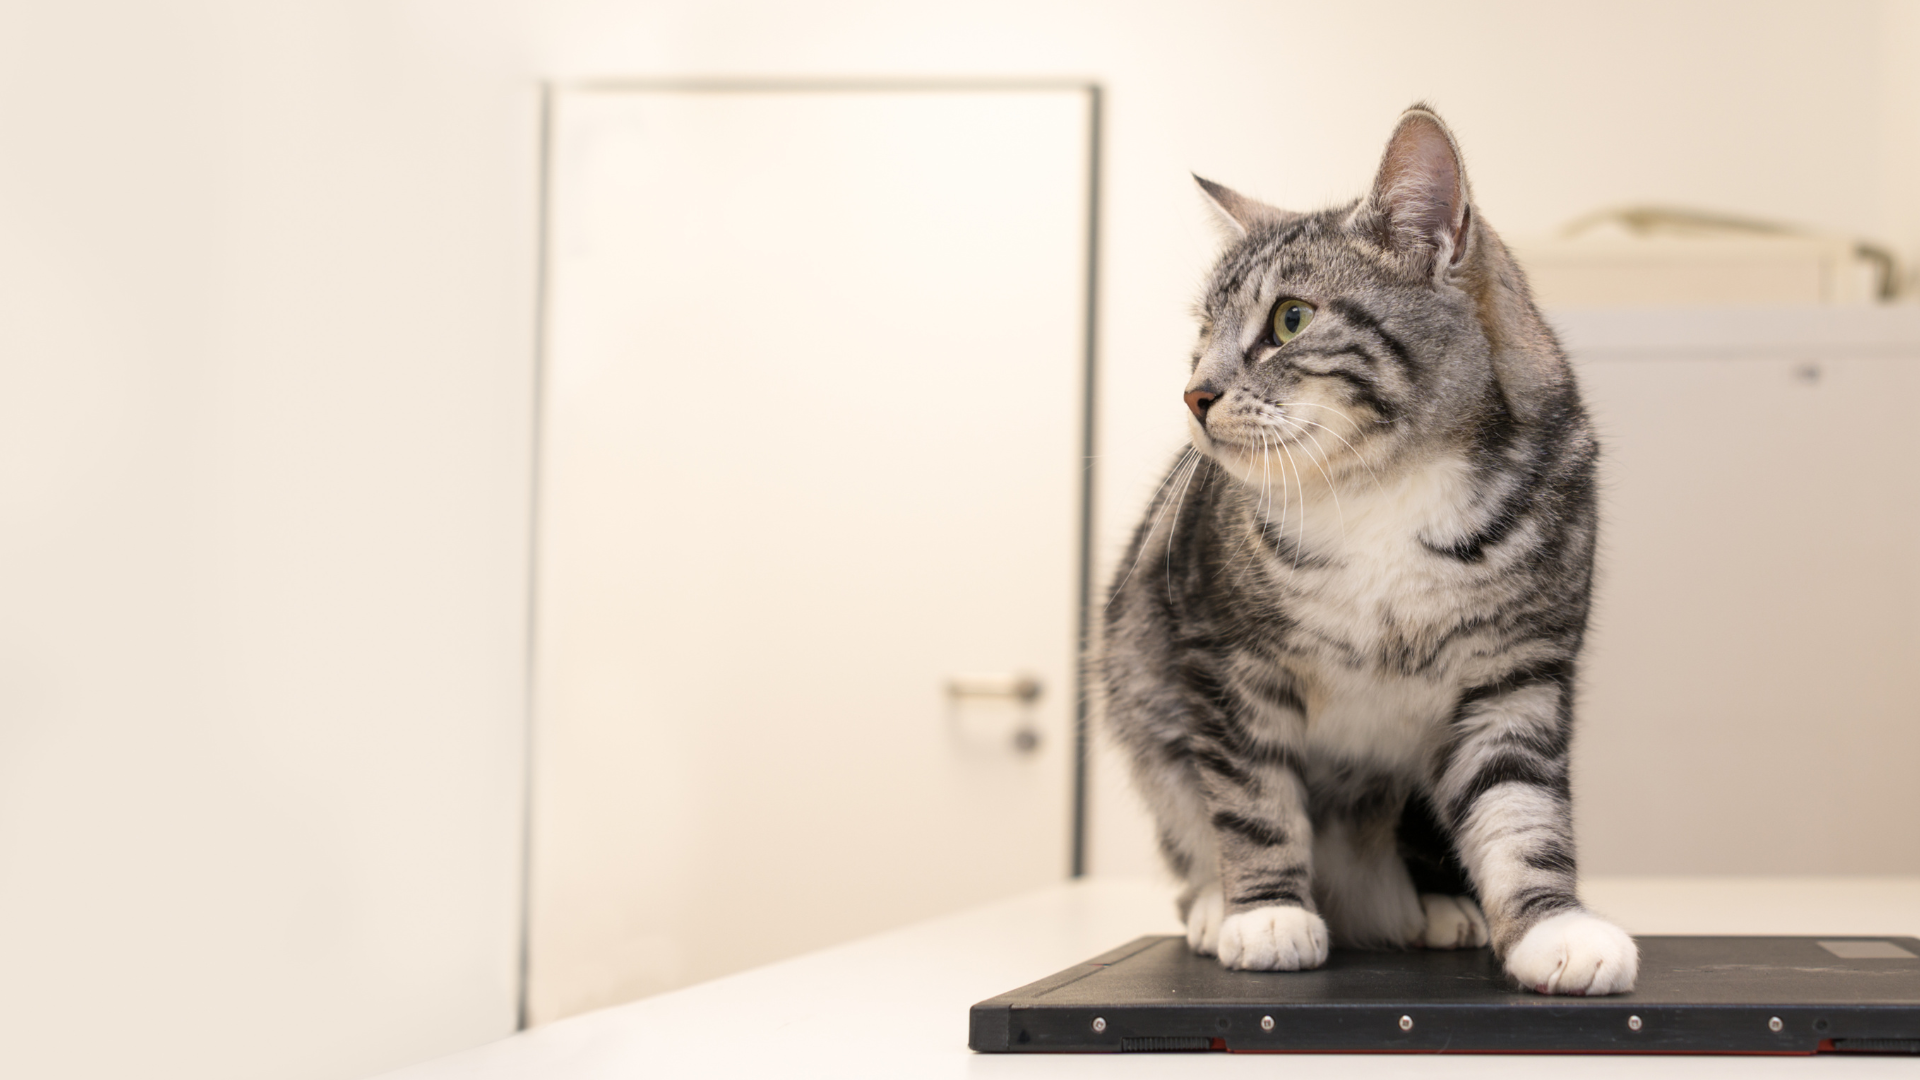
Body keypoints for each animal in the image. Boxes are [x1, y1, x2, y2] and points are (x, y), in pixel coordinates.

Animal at [1098, 102, 1635, 991]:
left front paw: (1552, 929)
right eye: (1204, 332)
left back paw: (1440, 909)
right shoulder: (1227, 659)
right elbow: (1251, 795)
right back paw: (1216, 905)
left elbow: (1520, 807)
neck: (1386, 487)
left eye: (1291, 319)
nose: (1194, 393)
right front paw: (1267, 914)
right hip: (1142, 694)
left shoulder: (1515, 673)